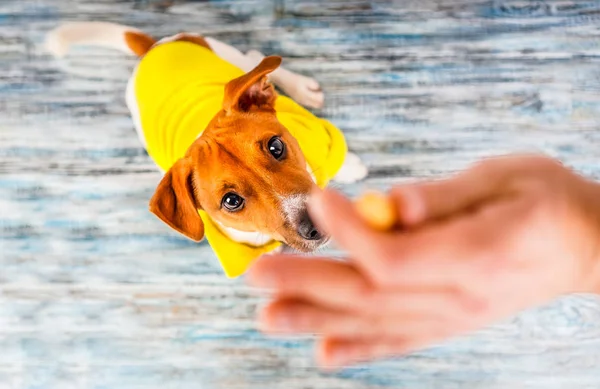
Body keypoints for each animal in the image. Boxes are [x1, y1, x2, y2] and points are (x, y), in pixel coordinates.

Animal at [47, 22, 368, 276]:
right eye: (231, 201)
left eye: (276, 146)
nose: (317, 222)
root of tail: (153, 49)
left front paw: (351, 167)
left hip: (227, 54)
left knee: (254, 58)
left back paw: (302, 88)